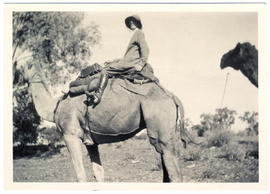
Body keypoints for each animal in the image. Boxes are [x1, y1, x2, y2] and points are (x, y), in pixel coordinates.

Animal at [22, 63, 186, 183]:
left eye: (26, 66)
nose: (18, 72)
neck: (54, 106)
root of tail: (172, 96)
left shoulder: (70, 135)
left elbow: (80, 175)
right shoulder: (91, 142)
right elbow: (98, 173)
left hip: (160, 122)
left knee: (174, 171)